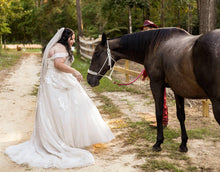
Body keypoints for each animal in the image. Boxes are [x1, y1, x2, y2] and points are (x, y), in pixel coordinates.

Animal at [87, 27, 220, 153]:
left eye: (96, 54)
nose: (89, 79)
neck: (155, 46)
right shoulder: (178, 89)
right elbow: (181, 115)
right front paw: (183, 144)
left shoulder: (156, 85)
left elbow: (159, 113)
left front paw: (158, 143)